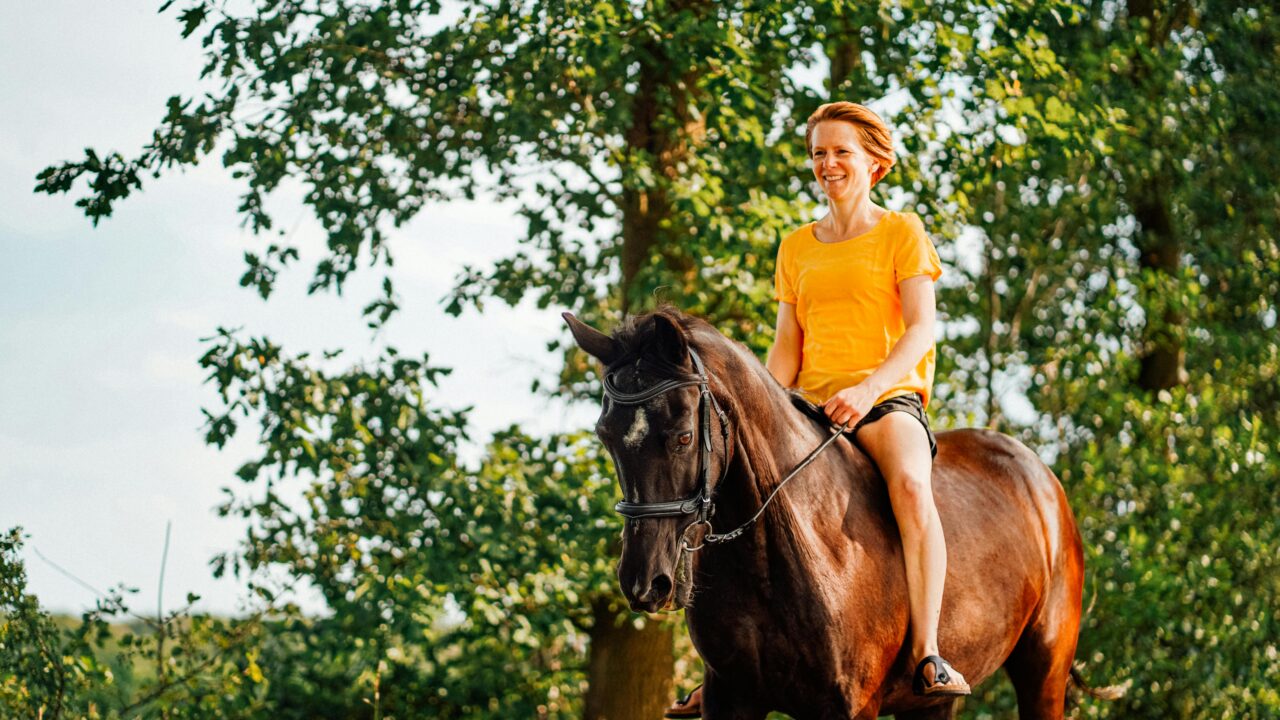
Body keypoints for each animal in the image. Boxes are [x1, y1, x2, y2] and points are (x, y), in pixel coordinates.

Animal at [563, 308, 1111, 717]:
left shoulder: (849, 706)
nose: (643, 584)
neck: (780, 552)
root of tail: (1040, 479)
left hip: (1044, 671)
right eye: (606, 436)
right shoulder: (730, 698)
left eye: (681, 436)